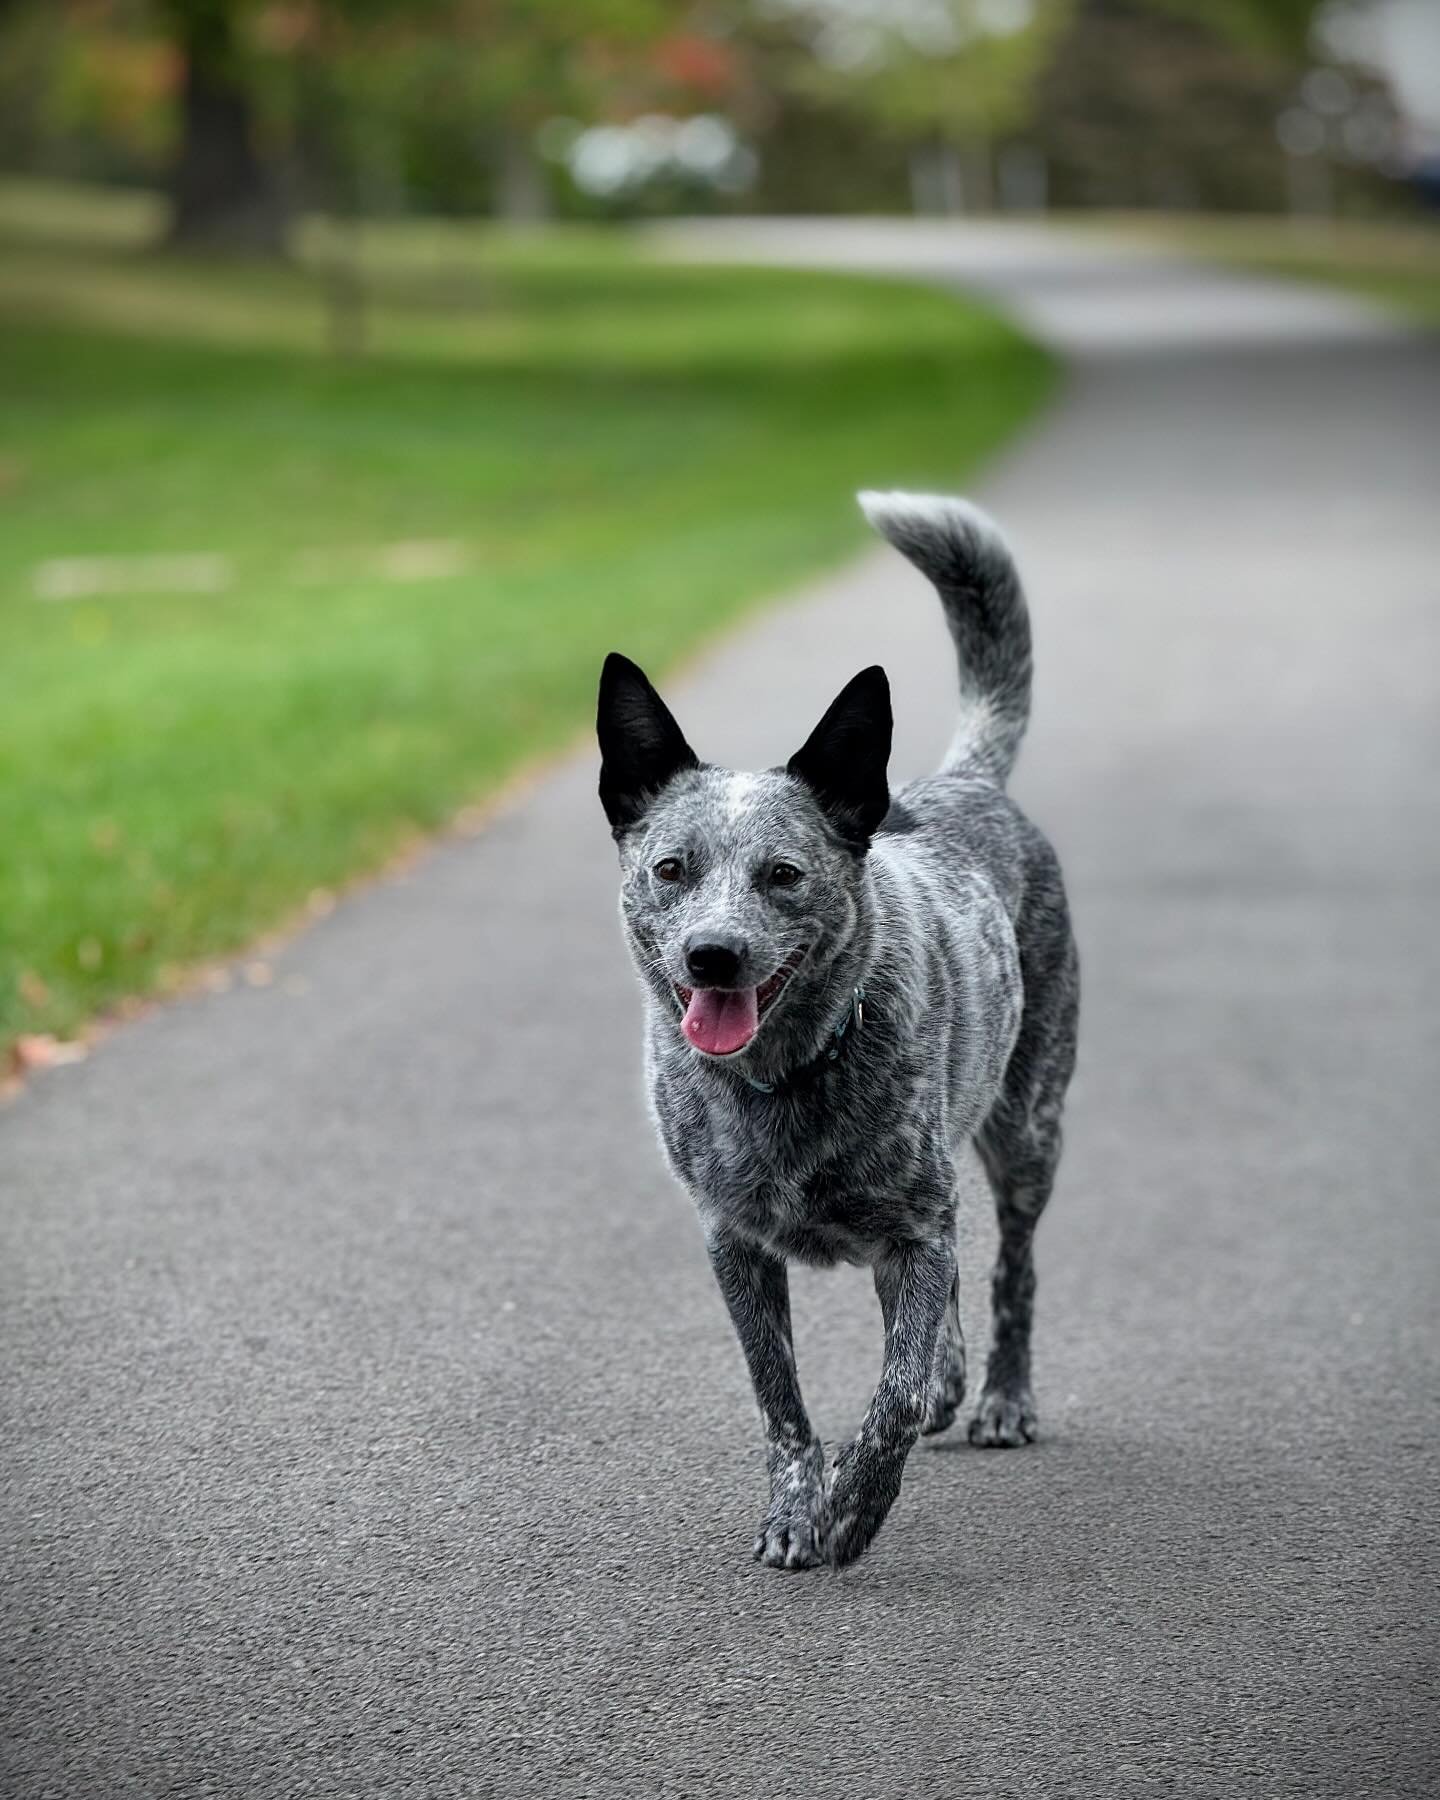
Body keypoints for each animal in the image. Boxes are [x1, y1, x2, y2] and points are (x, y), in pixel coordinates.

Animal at [597, 496, 1080, 1576]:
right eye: (671, 868)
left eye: (783, 874)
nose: (714, 956)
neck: (782, 1080)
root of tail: (962, 782)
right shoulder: (735, 1246)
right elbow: (781, 1400)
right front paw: (795, 1508)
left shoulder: (914, 1228)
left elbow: (891, 1395)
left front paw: (855, 1508)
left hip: (1027, 1131)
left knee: (1013, 1269)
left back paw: (1000, 1399)